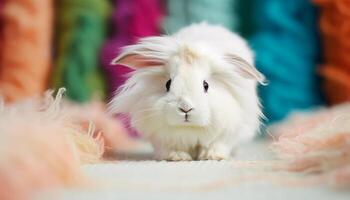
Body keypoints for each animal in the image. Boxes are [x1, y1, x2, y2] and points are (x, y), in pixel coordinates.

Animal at [109, 23, 266, 161]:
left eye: (206, 85)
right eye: (168, 84)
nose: (186, 108)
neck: (190, 130)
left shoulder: (225, 134)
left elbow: (216, 145)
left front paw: (212, 157)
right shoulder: (162, 138)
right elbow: (172, 148)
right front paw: (177, 157)